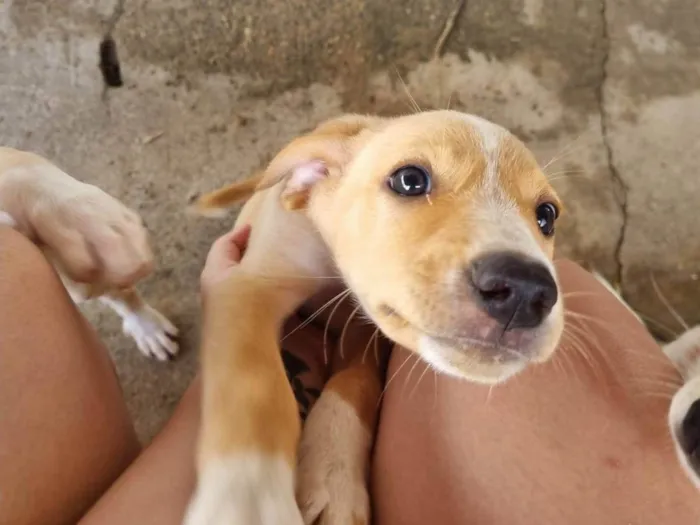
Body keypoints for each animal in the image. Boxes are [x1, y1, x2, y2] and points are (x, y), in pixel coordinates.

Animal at [187, 111, 568, 524]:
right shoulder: (249, 285)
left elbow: (355, 384)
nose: (526, 290)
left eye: (547, 216)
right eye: (410, 179)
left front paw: (335, 477)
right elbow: (253, 385)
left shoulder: (366, 332)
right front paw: (248, 498)